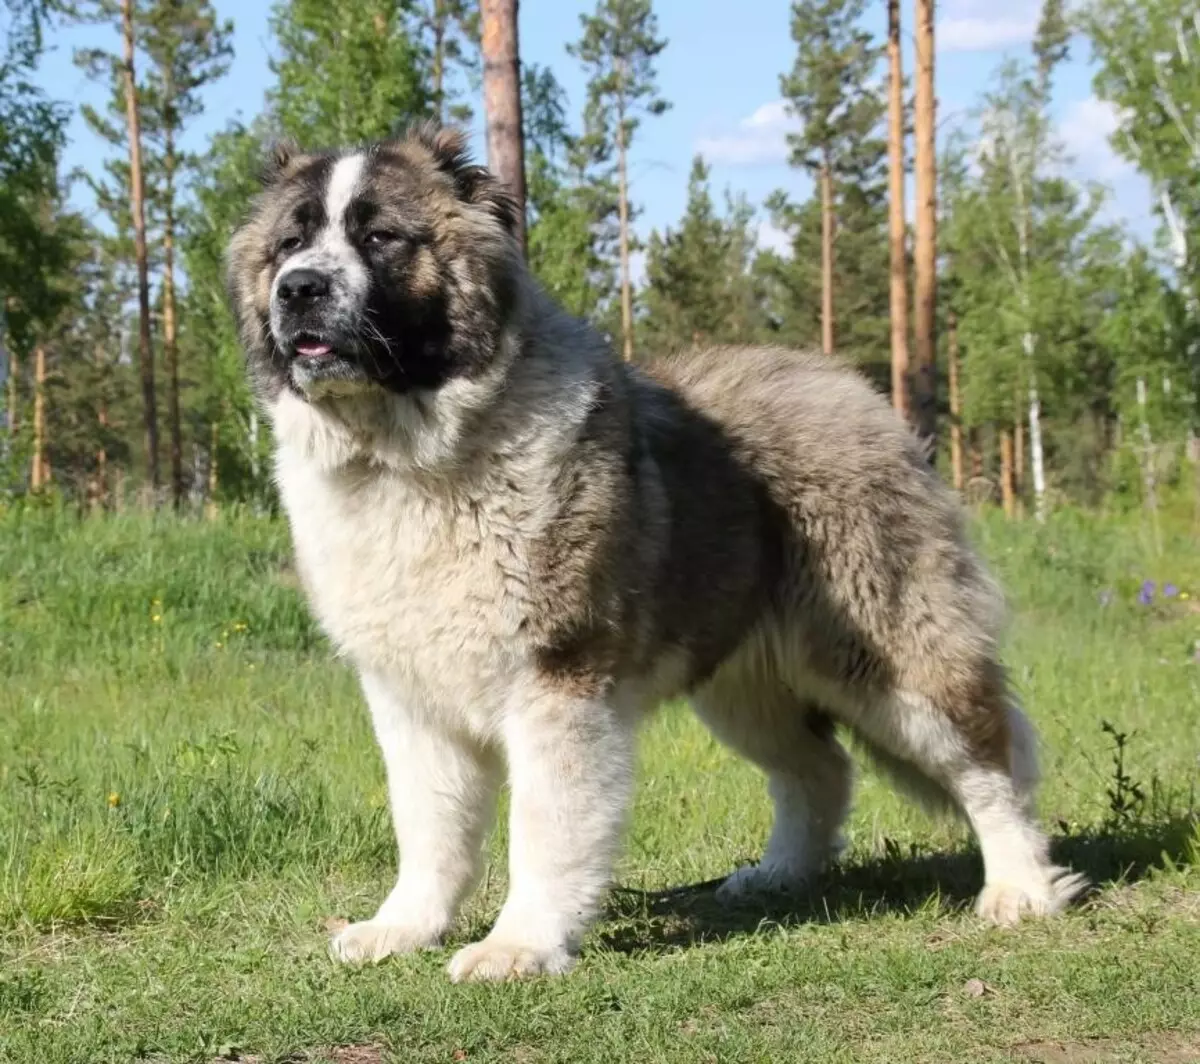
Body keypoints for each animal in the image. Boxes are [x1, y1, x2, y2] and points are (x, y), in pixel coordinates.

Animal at [225, 122, 1089, 983]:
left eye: (379, 238)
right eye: (290, 243)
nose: (300, 289)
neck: (409, 461)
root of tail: (852, 388)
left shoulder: (558, 681)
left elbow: (542, 828)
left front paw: (520, 944)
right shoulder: (412, 699)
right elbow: (430, 824)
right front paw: (404, 926)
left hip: (890, 661)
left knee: (988, 761)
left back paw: (1019, 887)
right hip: (744, 683)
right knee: (818, 770)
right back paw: (777, 876)